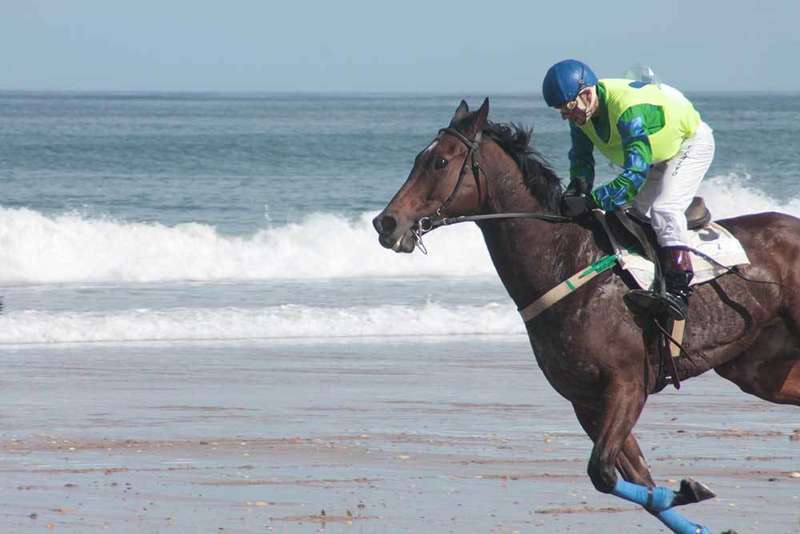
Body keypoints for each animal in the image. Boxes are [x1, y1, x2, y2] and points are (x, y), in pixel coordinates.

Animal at [372, 98, 800, 534]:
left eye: (440, 162)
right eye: (418, 158)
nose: (385, 222)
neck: (567, 260)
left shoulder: (627, 385)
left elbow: (603, 472)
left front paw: (689, 492)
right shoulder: (586, 401)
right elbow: (633, 479)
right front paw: (688, 505)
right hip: (758, 370)